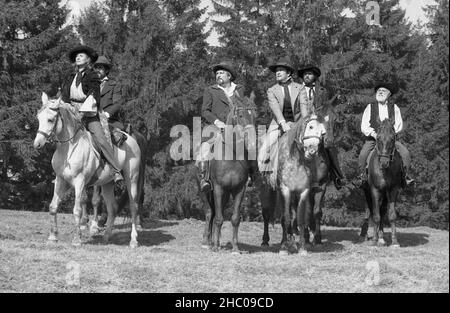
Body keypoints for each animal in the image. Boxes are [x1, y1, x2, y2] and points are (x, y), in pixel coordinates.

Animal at [33, 92, 142, 246]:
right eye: (38, 118)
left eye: (50, 119)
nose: (37, 144)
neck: (69, 148)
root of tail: (132, 140)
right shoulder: (60, 180)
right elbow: (53, 206)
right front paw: (53, 236)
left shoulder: (79, 182)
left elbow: (77, 210)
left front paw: (77, 239)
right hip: (107, 183)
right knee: (112, 207)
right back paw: (106, 237)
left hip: (131, 179)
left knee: (133, 206)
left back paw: (133, 240)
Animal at [200, 95, 258, 254]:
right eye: (240, 115)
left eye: (255, 115)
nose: (252, 143)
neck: (232, 155)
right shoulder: (218, 188)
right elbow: (219, 218)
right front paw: (214, 246)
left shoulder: (239, 190)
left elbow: (235, 218)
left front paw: (235, 248)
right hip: (207, 192)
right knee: (209, 213)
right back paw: (207, 242)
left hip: (225, 195)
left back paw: (215, 241)